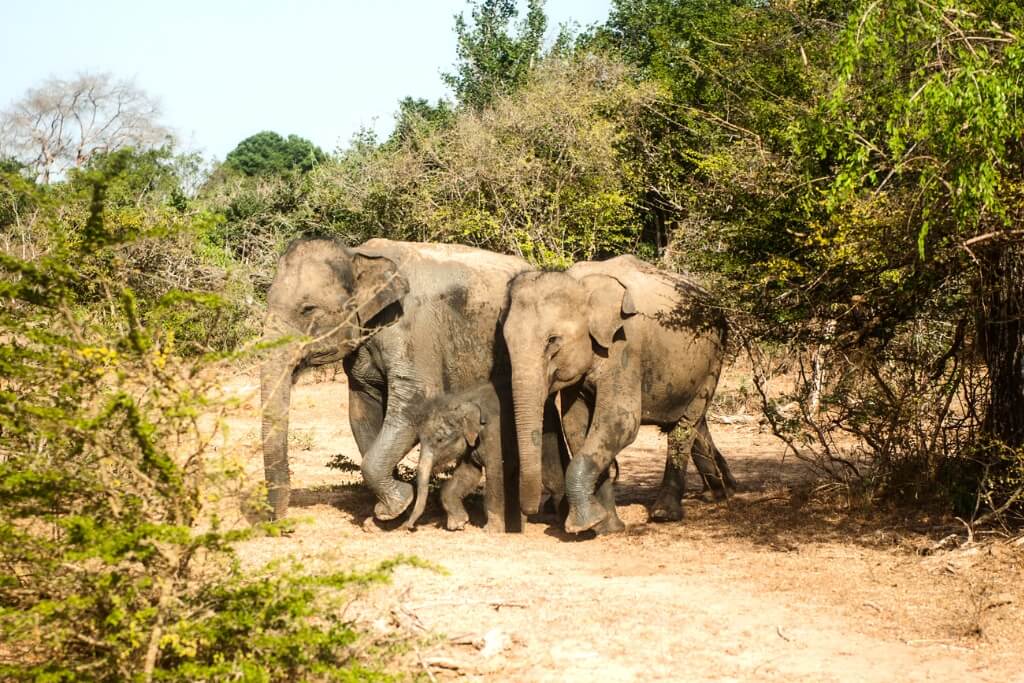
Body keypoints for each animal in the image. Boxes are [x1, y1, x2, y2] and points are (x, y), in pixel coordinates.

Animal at [260, 237, 569, 522]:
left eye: (308, 309)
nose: (281, 522)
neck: (358, 254)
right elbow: (361, 411)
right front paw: (386, 515)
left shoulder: (412, 331)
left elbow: (414, 404)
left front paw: (397, 505)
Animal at [502, 254, 738, 534]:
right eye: (505, 341)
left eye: (553, 340)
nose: (530, 512)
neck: (581, 283)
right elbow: (576, 426)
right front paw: (606, 527)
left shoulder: (625, 346)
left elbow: (620, 421)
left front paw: (583, 524)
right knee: (694, 422)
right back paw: (722, 492)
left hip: (715, 356)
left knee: (685, 425)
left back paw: (665, 513)